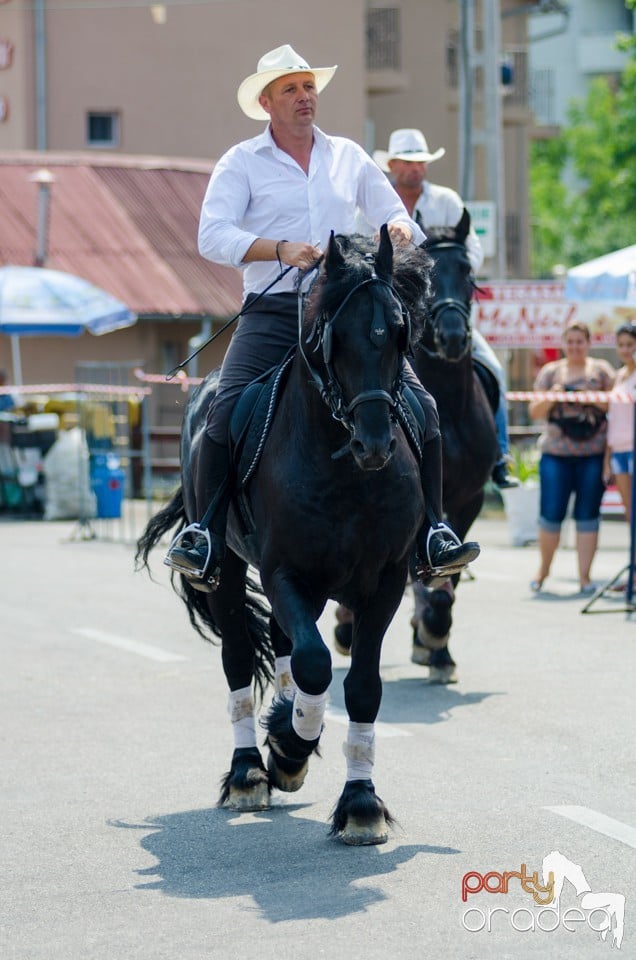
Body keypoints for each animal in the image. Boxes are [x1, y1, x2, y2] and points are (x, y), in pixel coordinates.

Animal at [137, 229, 430, 844]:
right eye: (335, 337)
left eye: (398, 332)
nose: (374, 443)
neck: (345, 471)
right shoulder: (282, 573)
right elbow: (316, 663)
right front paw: (292, 745)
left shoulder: (385, 582)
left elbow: (360, 684)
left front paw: (360, 802)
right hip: (227, 572)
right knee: (240, 658)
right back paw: (251, 770)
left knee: (284, 646)